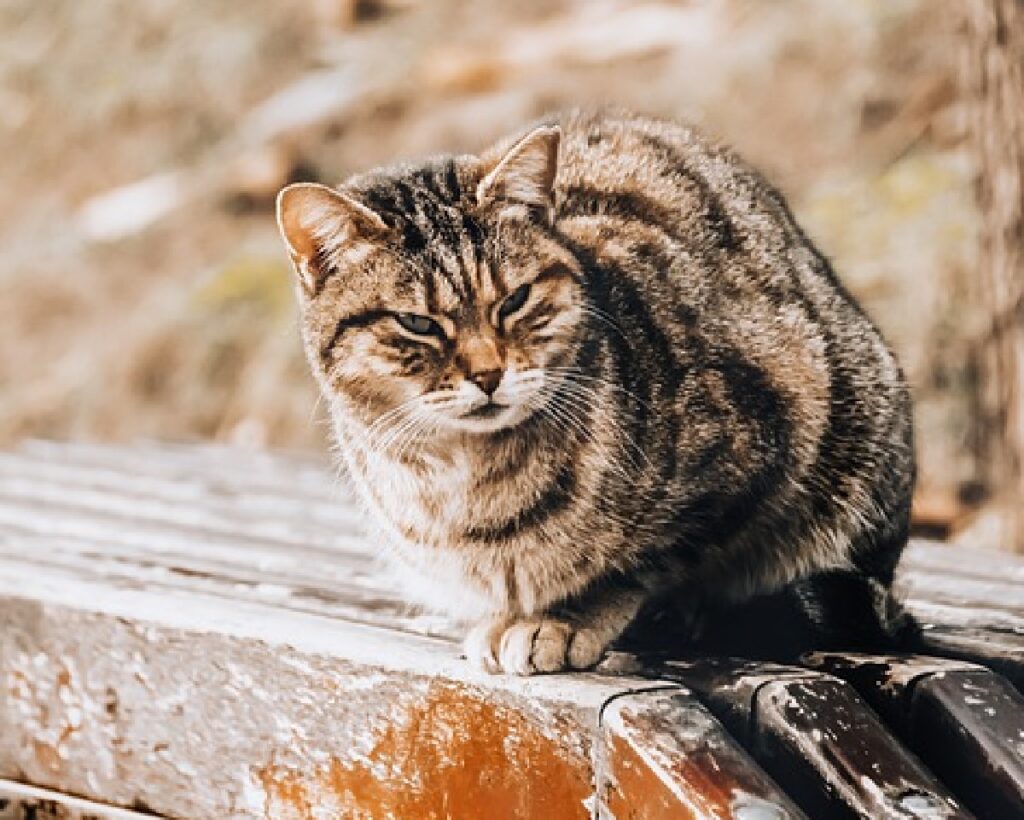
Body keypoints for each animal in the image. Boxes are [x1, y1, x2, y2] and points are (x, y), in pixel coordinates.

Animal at [276, 106, 917, 671]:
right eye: (418, 323)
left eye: (514, 300)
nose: (488, 374)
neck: (465, 481)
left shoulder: (760, 442)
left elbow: (642, 561)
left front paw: (564, 618)